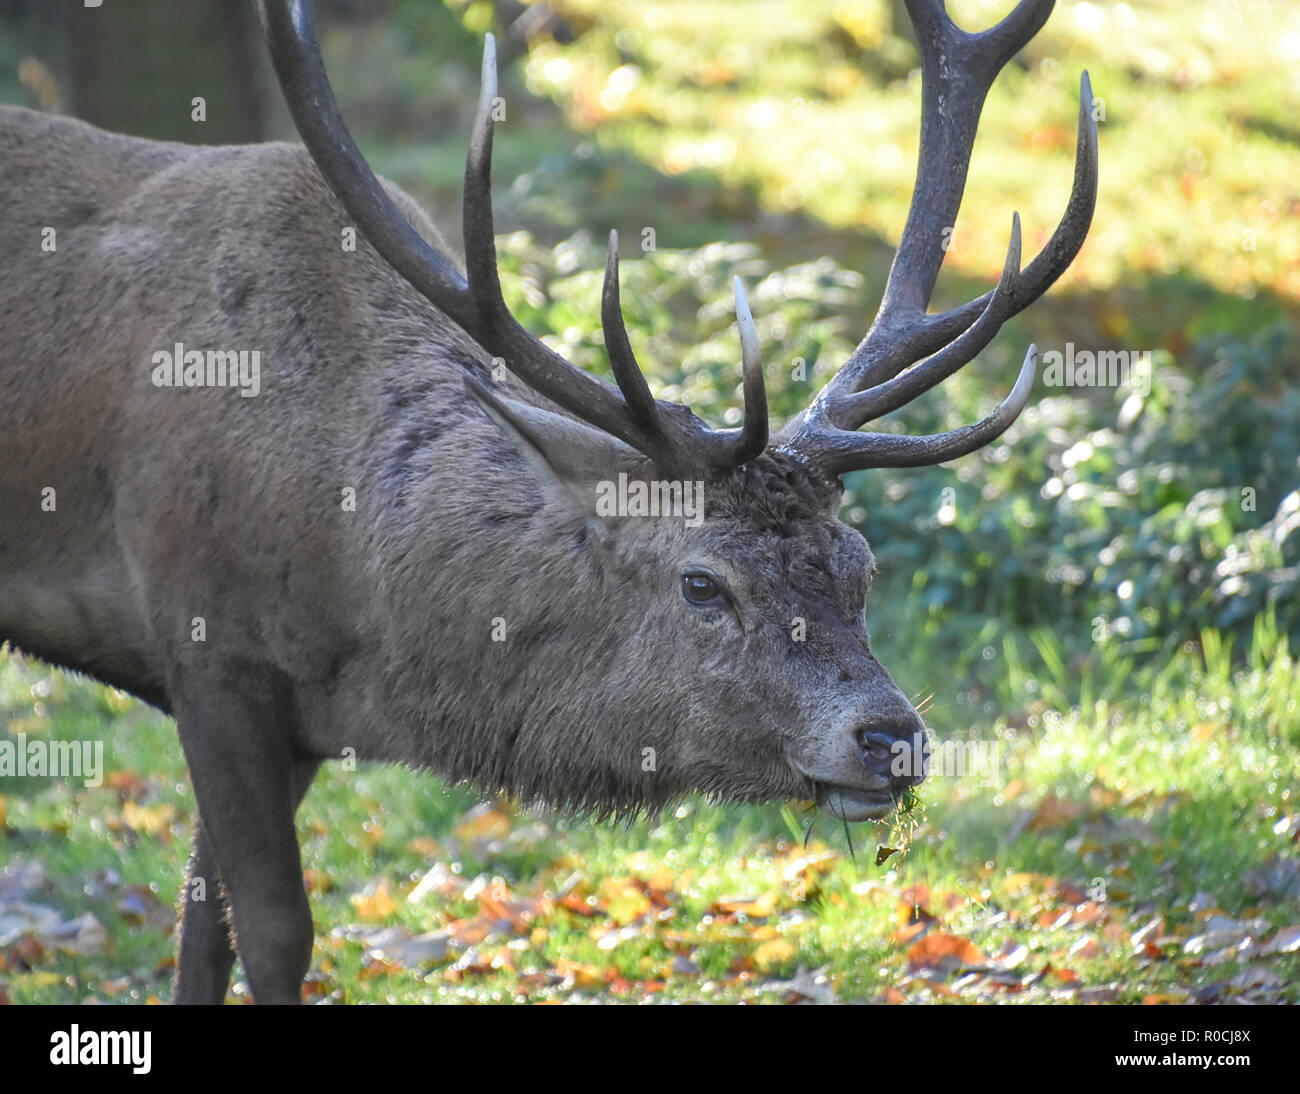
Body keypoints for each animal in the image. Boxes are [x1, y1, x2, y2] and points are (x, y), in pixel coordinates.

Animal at [0, 0, 1097, 997]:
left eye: (859, 565)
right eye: (702, 582)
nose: (891, 738)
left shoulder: (294, 714)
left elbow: (202, 928)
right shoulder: (208, 649)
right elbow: (271, 930)